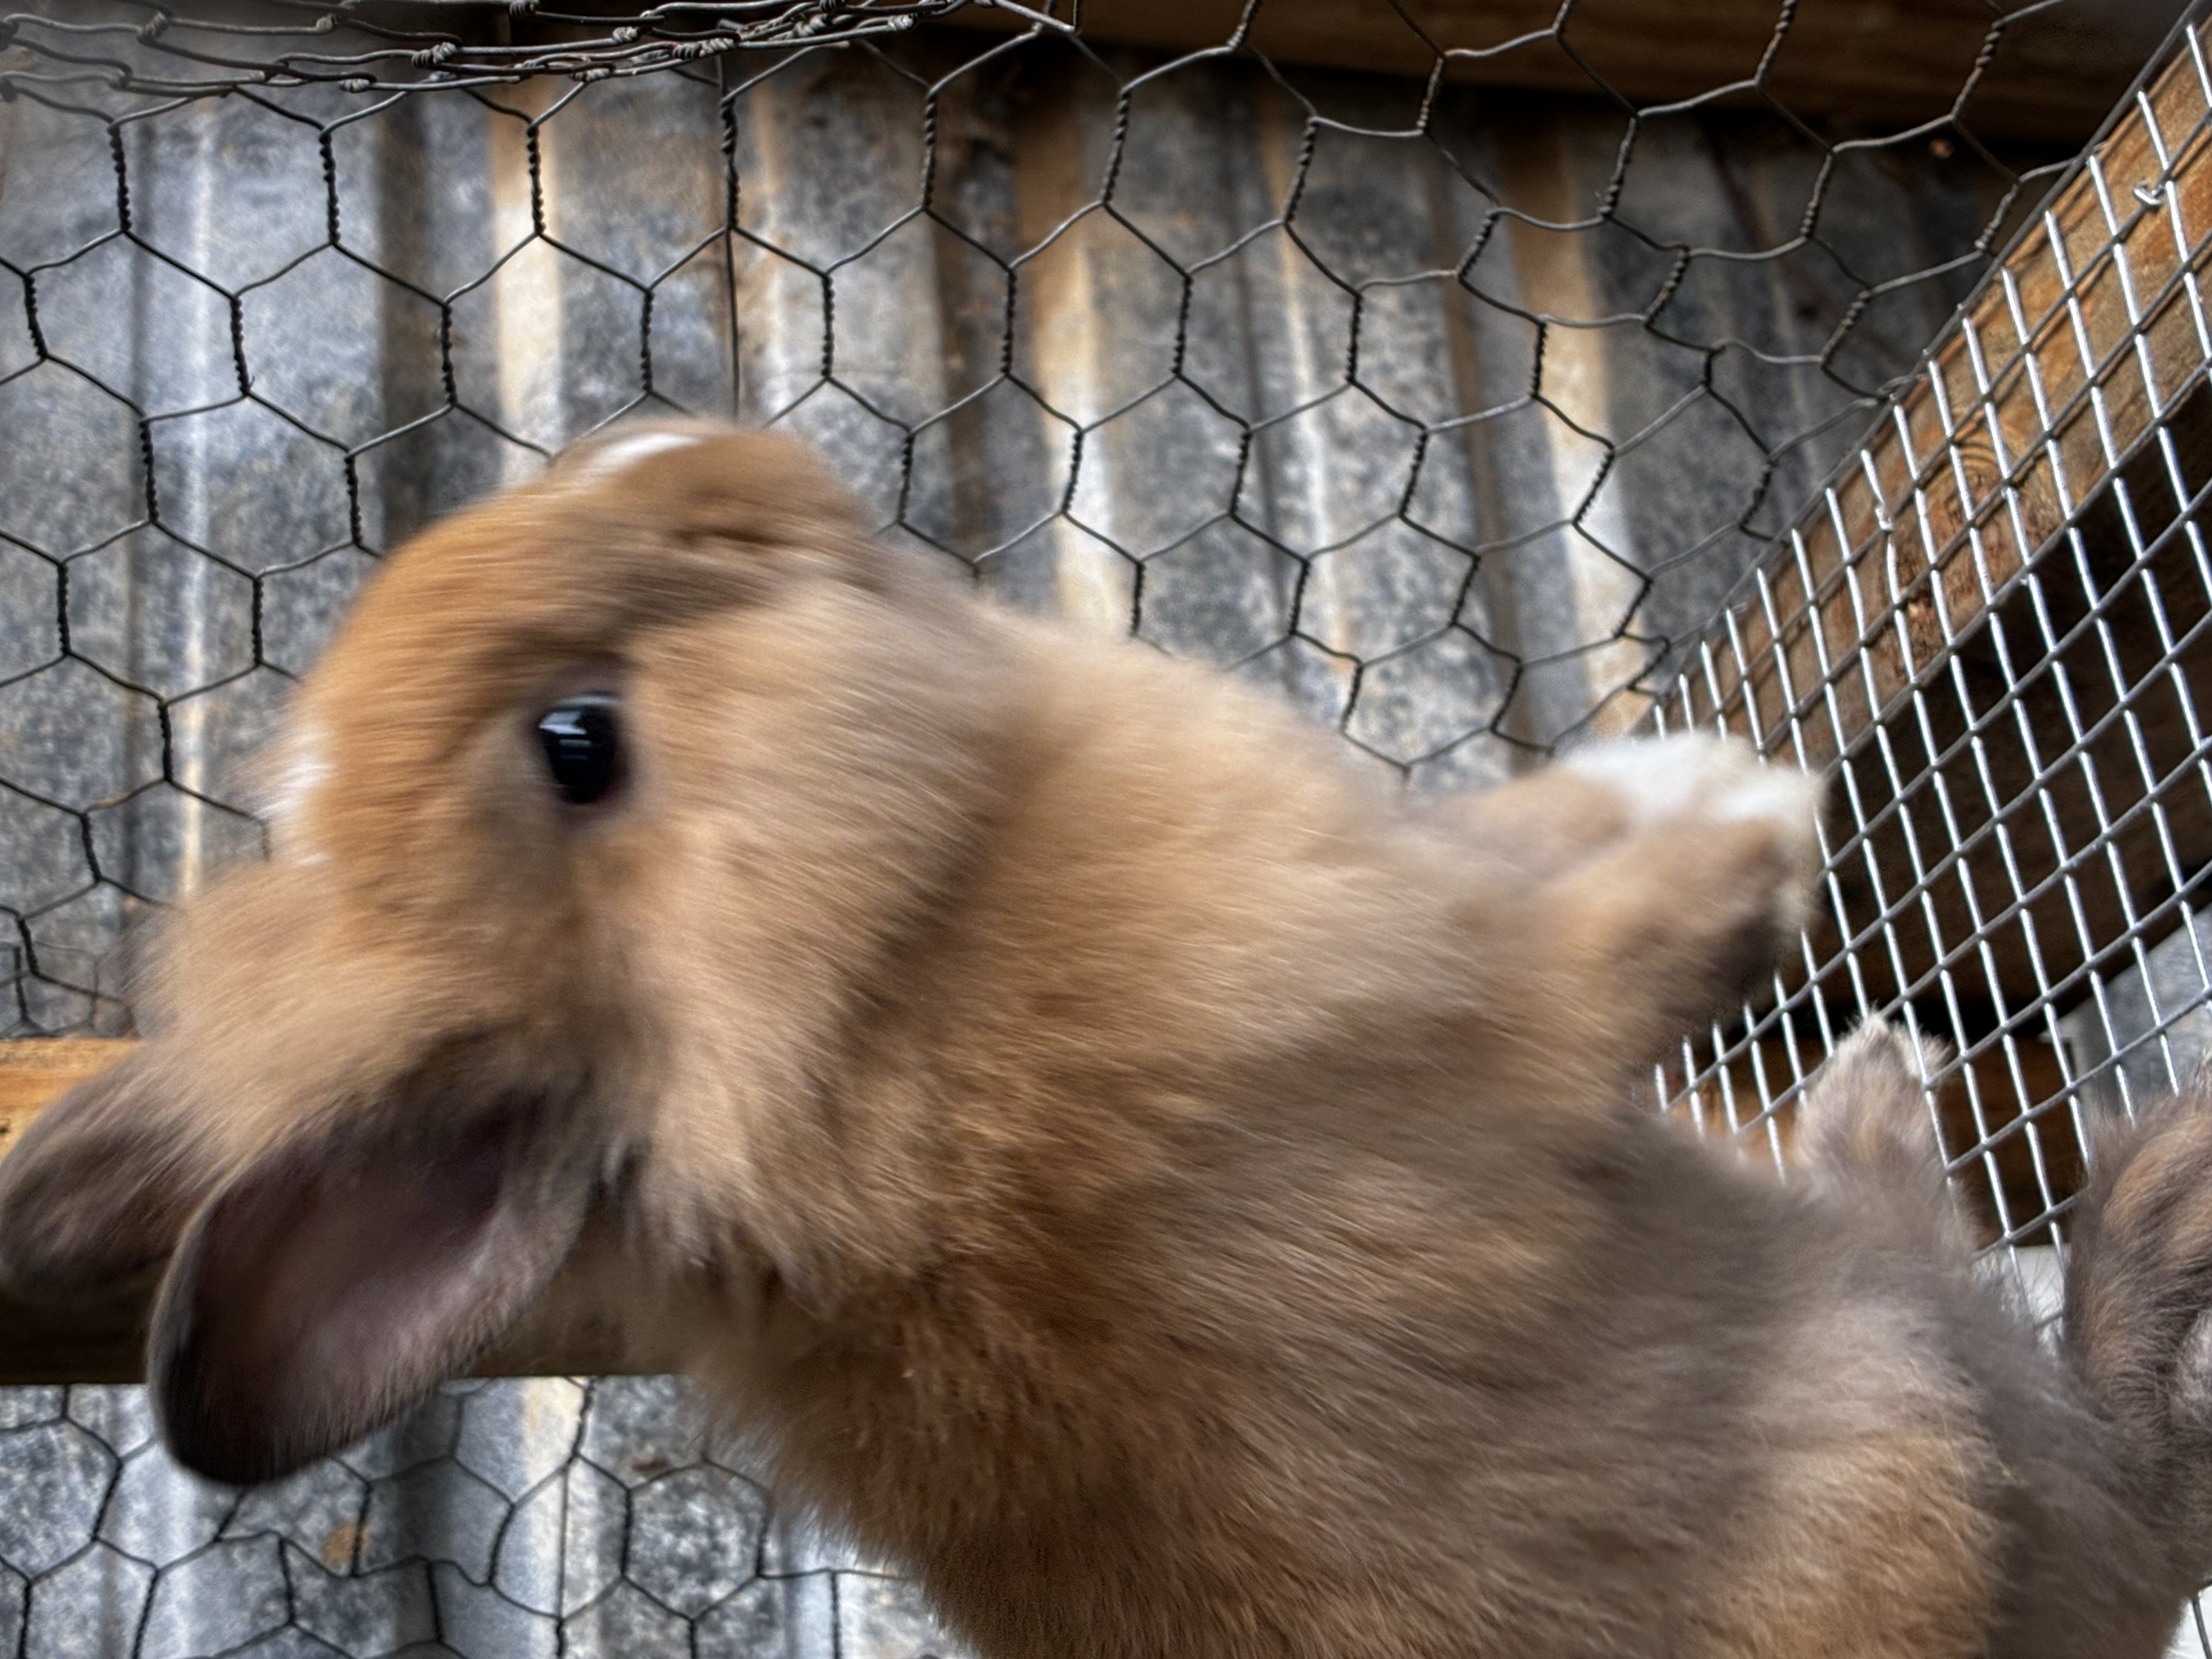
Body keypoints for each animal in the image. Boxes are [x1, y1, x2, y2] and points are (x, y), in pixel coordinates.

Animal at [1, 418, 2208, 1659]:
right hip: (1952, 1413)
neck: (884, 971)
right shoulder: (1452, 986)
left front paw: (1669, 779)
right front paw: (1746, 812)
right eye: (575, 744)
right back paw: (1971, 1132)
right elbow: (1600, 935)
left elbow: (1530, 831)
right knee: (2105, 1414)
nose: (675, 453)